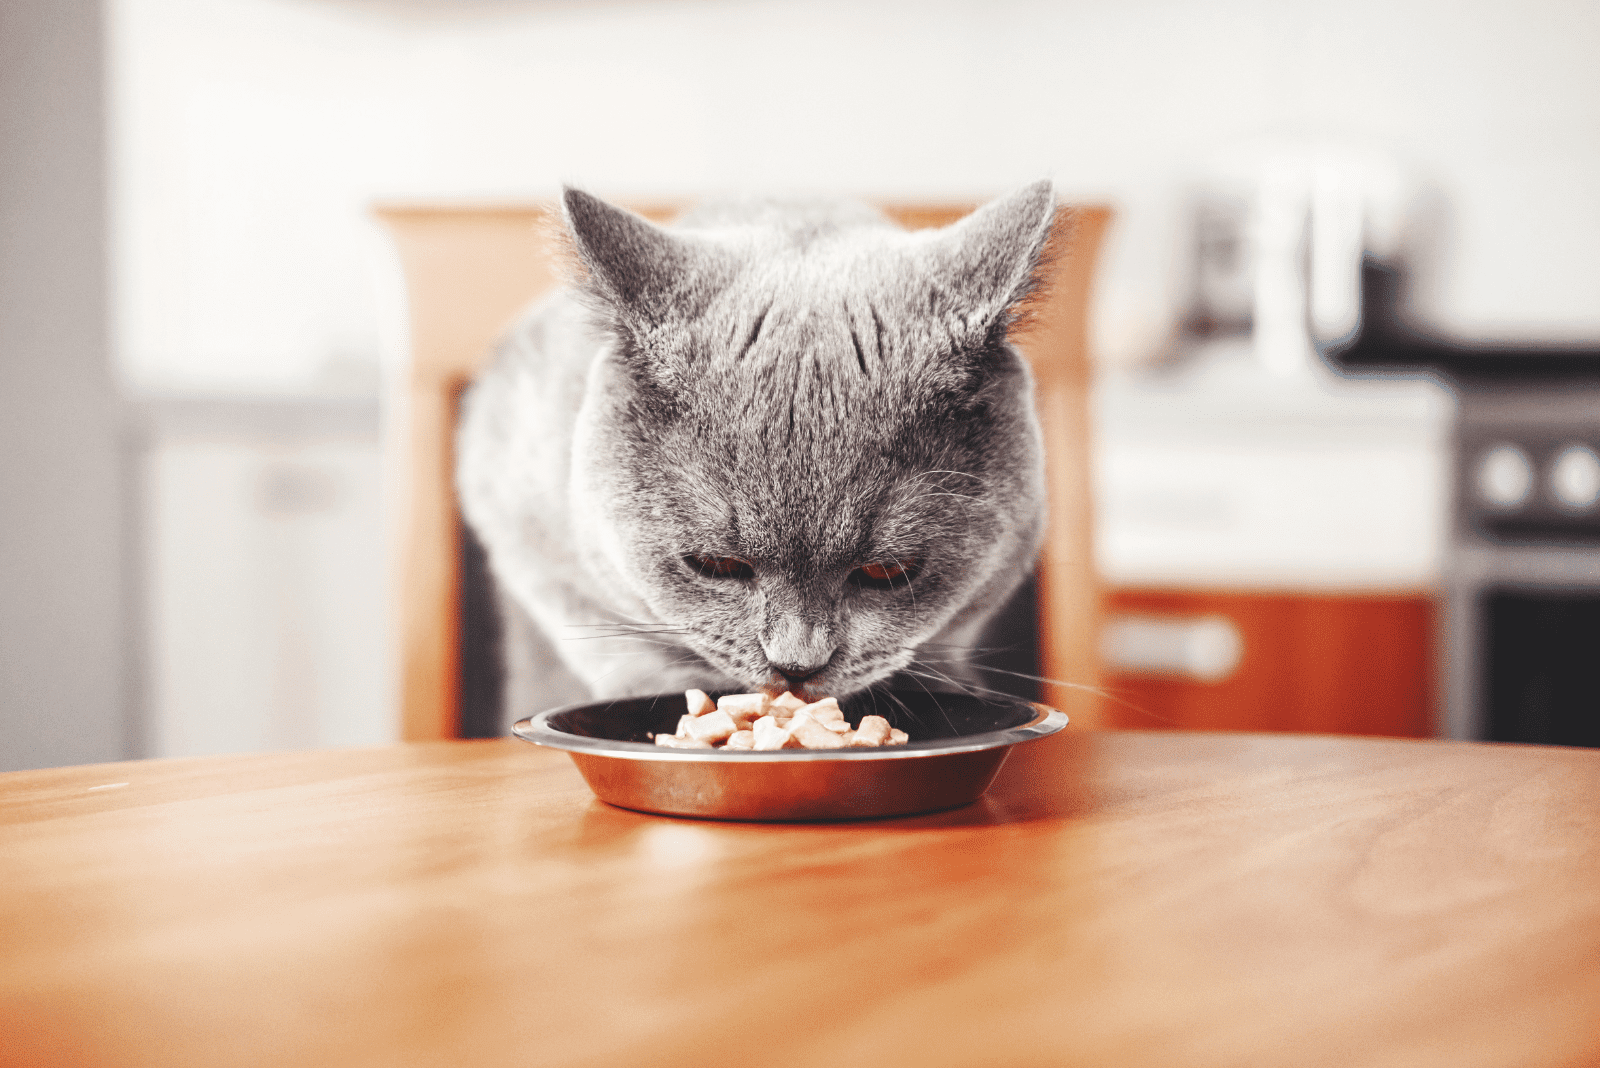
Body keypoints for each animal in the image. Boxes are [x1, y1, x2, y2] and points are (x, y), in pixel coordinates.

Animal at [457, 181, 1056, 725]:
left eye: (887, 571)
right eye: (714, 565)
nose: (797, 665)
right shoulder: (509, 503)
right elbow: (596, 625)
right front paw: (662, 684)